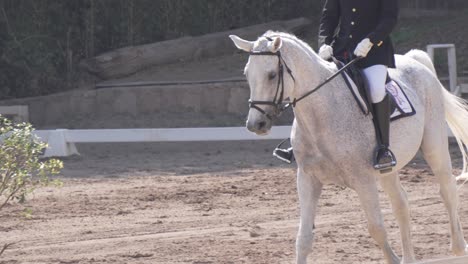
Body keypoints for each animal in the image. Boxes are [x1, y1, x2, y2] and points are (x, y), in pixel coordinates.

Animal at [229, 31, 468, 264]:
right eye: (247, 74)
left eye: (271, 75)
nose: (255, 125)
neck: (322, 113)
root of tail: (414, 61)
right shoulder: (307, 178)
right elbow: (303, 238)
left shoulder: (363, 180)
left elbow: (376, 228)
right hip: (388, 169)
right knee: (401, 203)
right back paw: (409, 258)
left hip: (434, 145)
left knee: (447, 189)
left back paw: (458, 247)